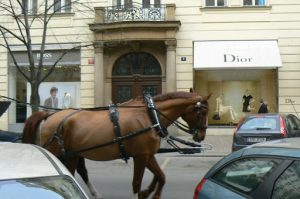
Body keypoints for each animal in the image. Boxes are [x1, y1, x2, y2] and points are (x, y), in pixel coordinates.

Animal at [22, 91, 211, 198]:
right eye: (202, 112)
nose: (201, 135)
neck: (149, 115)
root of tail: (49, 115)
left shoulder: (147, 154)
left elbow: (161, 176)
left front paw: (150, 193)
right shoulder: (141, 156)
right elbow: (136, 183)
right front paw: (143, 193)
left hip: (73, 154)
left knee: (78, 172)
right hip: (60, 154)